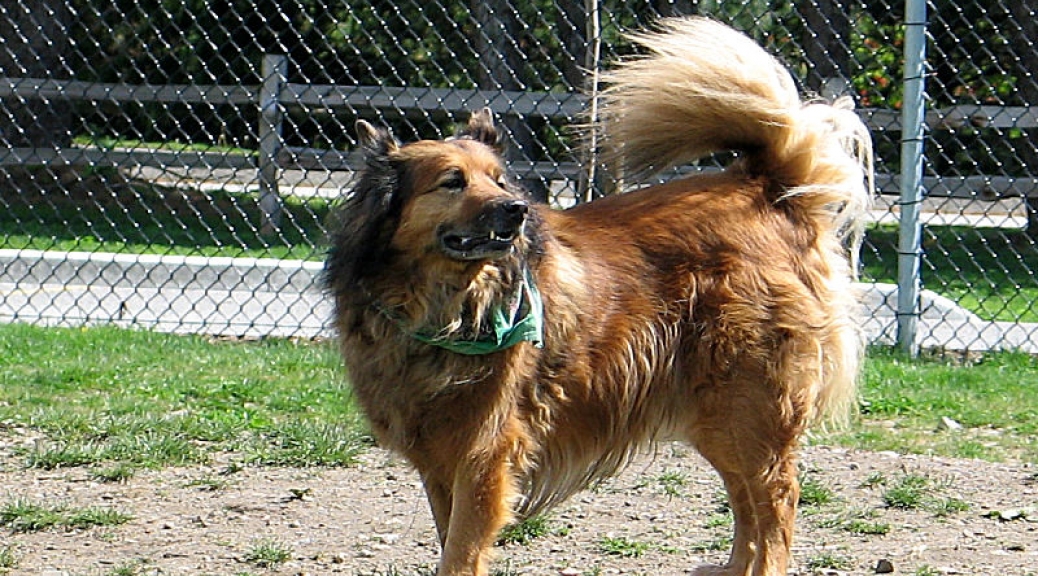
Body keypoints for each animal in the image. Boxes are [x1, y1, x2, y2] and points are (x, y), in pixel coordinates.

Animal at [323, 16, 867, 576]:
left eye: (498, 180)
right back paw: (734, 568)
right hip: (719, 414)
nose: (517, 209)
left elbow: (460, 552)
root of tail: (770, 190)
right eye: (452, 181)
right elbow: (446, 535)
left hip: (751, 403)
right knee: (746, 499)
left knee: (776, 499)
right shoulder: (439, 459)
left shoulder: (486, 454)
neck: (449, 304)